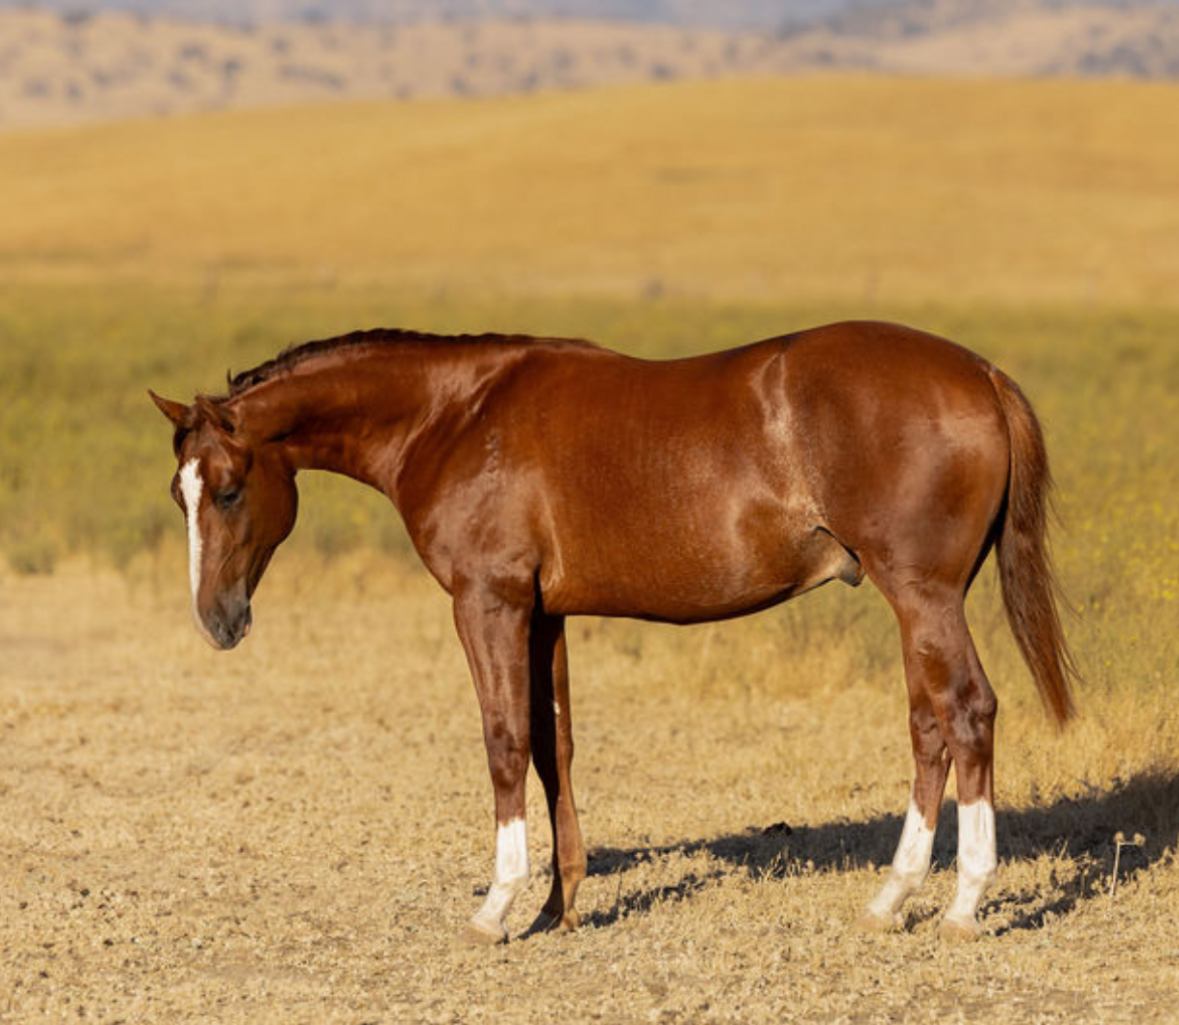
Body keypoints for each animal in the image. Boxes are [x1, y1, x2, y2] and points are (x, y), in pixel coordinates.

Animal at [150, 319, 1078, 944]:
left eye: (228, 488)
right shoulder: (544, 613)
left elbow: (502, 741)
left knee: (967, 713)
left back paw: (963, 903)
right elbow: (550, 745)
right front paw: (558, 906)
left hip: (923, 596)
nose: (216, 621)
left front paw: (497, 905)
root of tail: (977, 371)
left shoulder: (488, 602)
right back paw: (892, 896)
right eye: (179, 492)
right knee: (928, 726)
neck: (454, 415)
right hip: (916, 605)